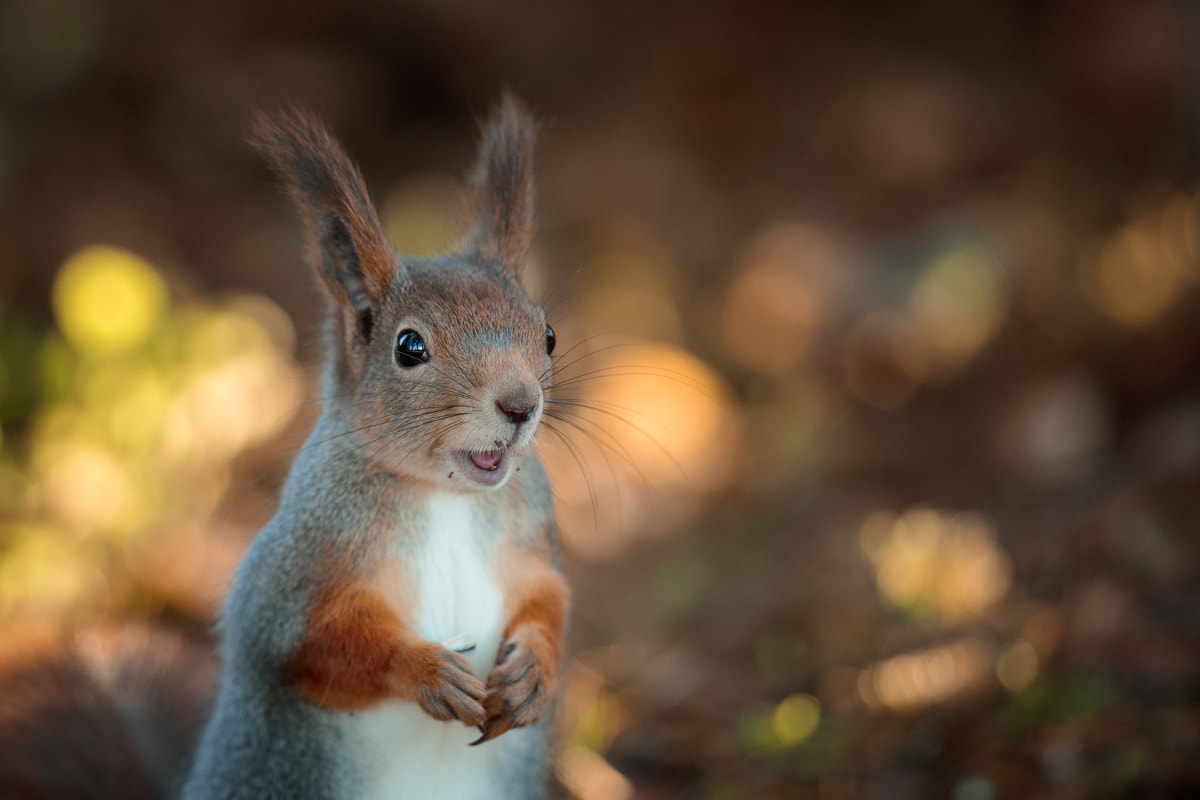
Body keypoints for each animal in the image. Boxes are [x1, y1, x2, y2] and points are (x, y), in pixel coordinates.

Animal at [1, 95, 571, 800]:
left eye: (547, 334)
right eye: (410, 348)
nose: (520, 406)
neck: (447, 498)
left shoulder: (530, 541)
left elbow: (550, 600)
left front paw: (535, 673)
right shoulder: (293, 576)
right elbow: (314, 647)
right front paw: (425, 670)